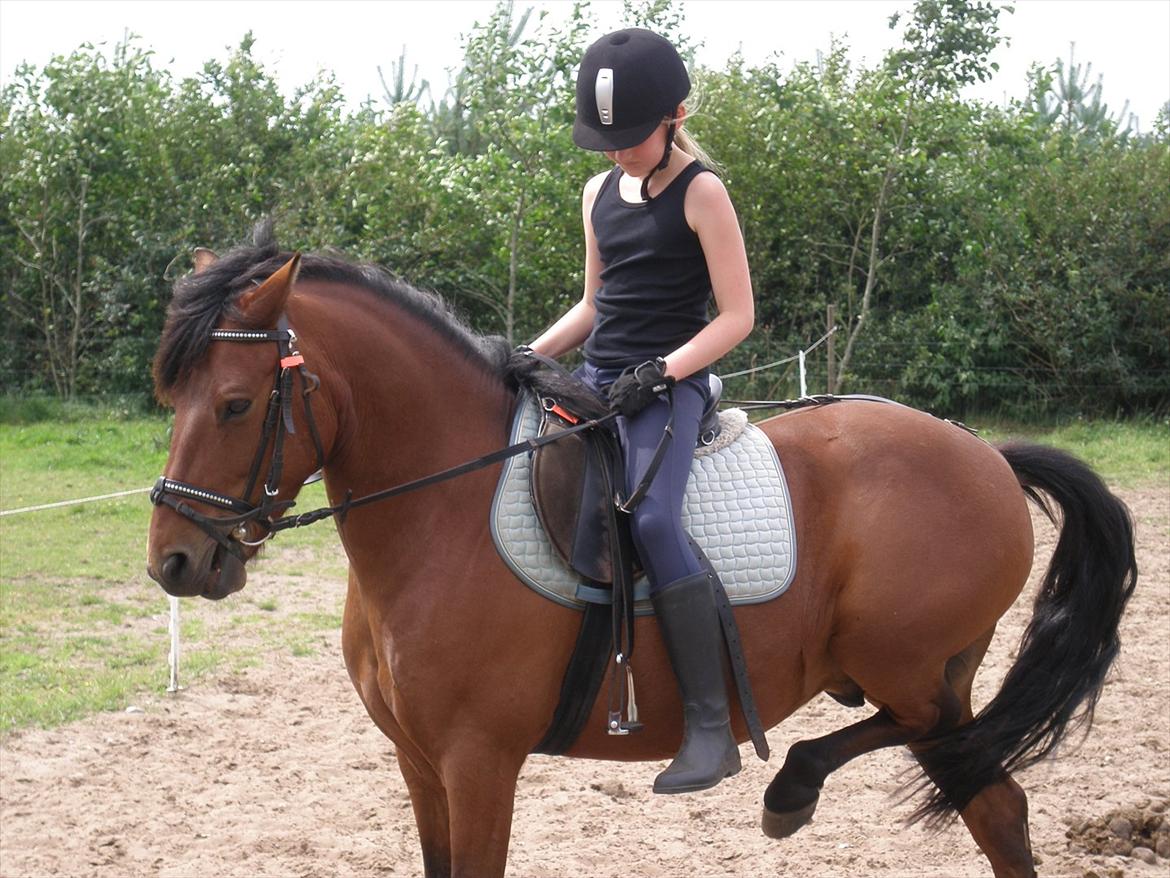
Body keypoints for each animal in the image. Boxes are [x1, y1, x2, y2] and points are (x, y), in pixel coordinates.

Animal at [146, 228, 1136, 878]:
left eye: (235, 404)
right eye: (171, 396)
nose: (174, 563)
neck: (444, 511)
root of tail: (985, 455)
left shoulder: (478, 762)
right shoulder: (419, 763)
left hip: (908, 669)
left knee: (954, 764)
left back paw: (791, 787)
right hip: (921, 680)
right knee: (994, 806)